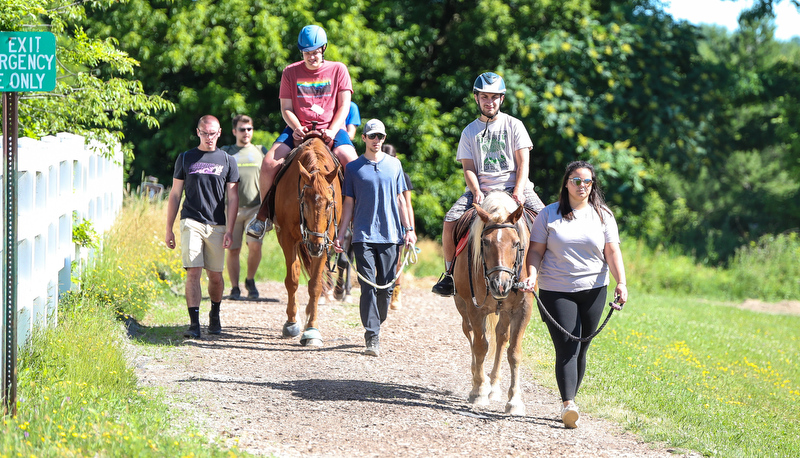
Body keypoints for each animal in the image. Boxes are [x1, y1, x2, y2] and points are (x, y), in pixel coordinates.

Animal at [276, 138, 340, 346]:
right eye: (304, 202)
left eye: (330, 203)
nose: (314, 245)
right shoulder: (287, 237)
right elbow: (292, 279)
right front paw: (291, 323)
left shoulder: (325, 241)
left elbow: (315, 285)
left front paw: (312, 329)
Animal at [454, 190, 536, 416]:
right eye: (485, 242)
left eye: (516, 243)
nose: (501, 285)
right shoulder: (475, 308)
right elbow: (481, 347)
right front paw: (479, 391)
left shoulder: (523, 310)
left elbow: (514, 353)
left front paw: (514, 401)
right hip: (462, 305)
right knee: (470, 334)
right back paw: (477, 381)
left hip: (506, 311)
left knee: (501, 338)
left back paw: (495, 387)